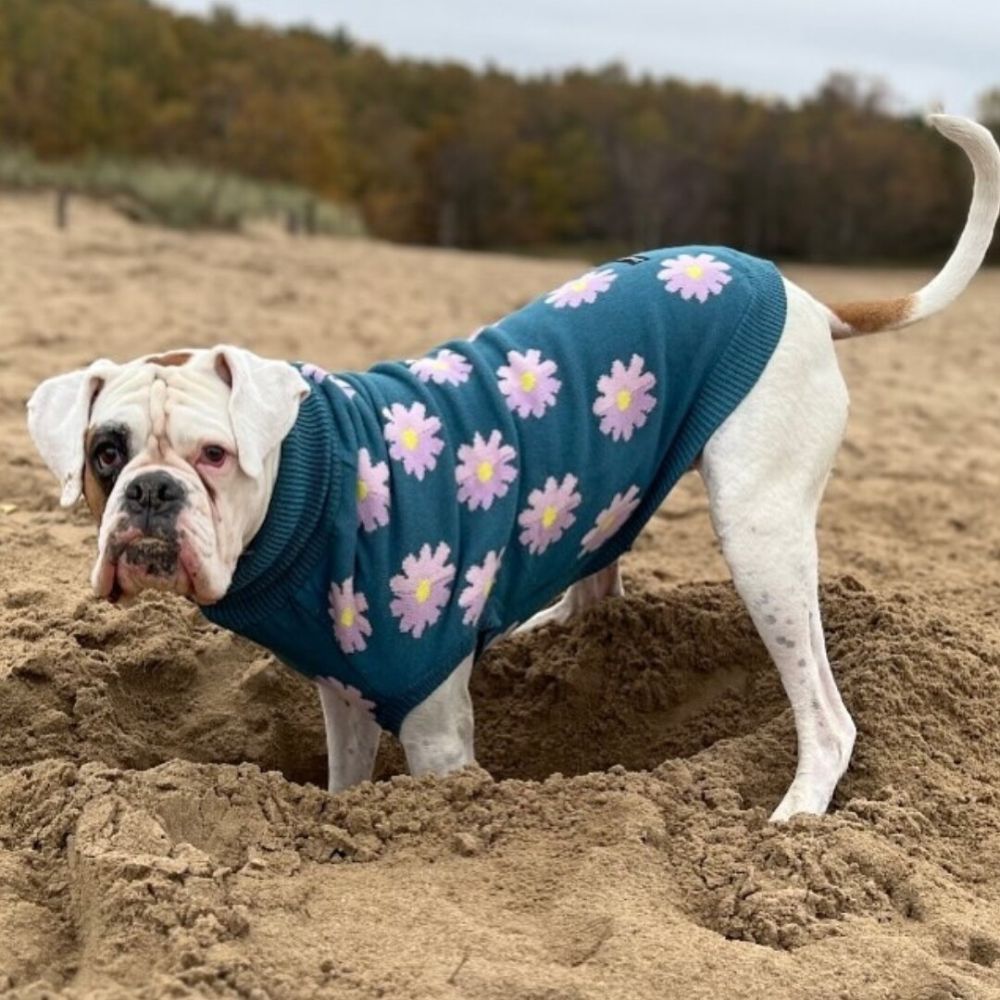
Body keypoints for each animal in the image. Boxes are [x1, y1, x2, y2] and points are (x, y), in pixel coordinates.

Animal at [27, 115, 996, 820]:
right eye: (105, 454)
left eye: (215, 456)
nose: (152, 492)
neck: (315, 488)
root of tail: (807, 299)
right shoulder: (343, 693)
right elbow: (344, 786)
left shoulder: (433, 726)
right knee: (599, 590)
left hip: (760, 533)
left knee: (827, 715)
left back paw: (796, 815)